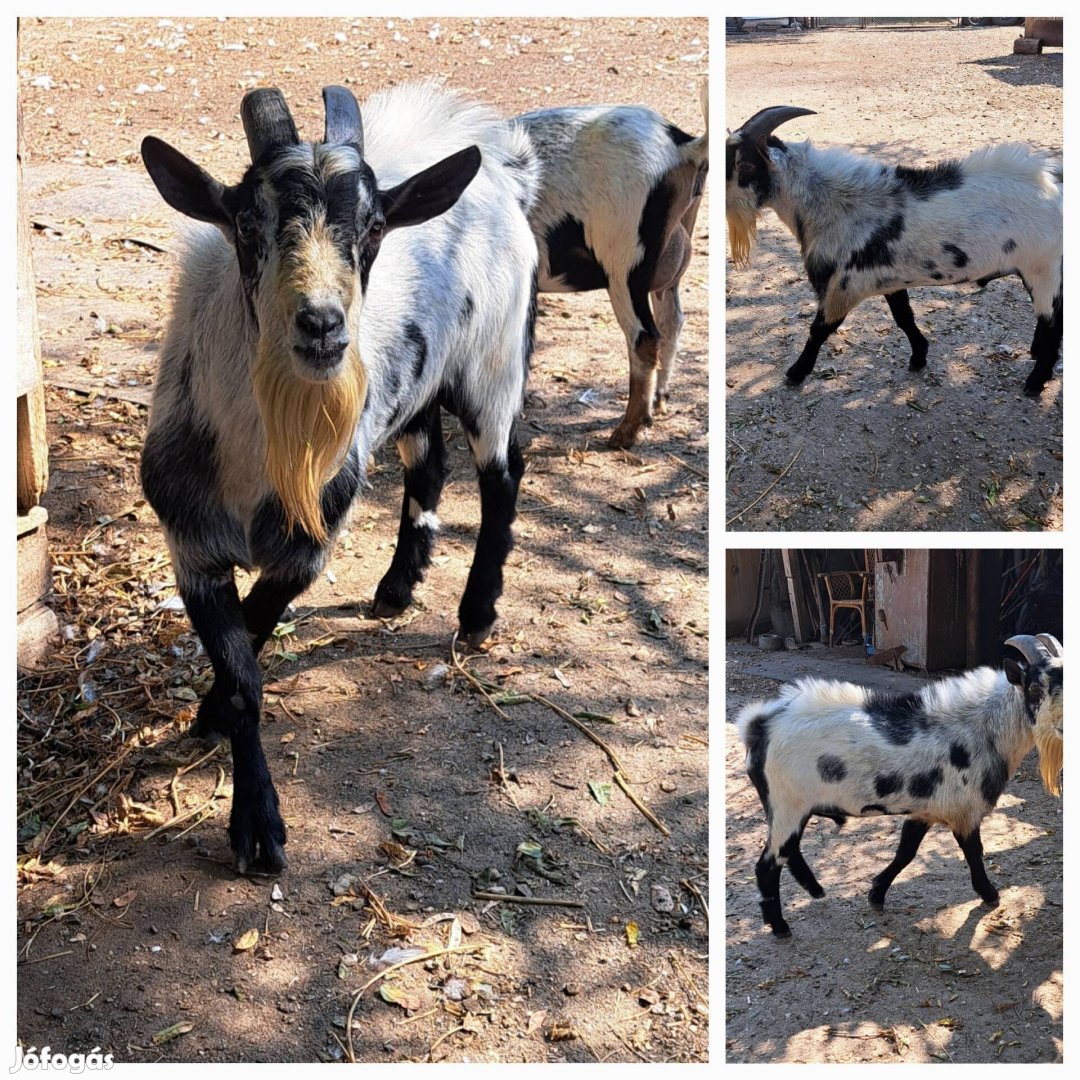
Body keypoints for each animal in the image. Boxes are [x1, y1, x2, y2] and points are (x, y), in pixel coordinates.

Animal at [139, 84, 535, 876]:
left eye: (375, 226)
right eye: (245, 221)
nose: (321, 325)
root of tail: (494, 161)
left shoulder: (307, 547)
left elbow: (252, 647)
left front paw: (256, 826)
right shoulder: (191, 546)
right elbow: (242, 670)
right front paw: (226, 749)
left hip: (492, 364)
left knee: (502, 474)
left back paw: (476, 615)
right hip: (412, 389)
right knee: (430, 463)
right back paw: (395, 589)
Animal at [520, 78, 708, 444]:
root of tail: (682, 146)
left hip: (625, 264)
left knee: (645, 337)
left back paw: (625, 432)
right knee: (672, 320)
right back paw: (659, 401)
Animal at [725, 106, 1062, 397]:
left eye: (743, 164)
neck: (835, 205)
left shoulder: (845, 285)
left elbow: (819, 329)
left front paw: (796, 373)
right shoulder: (889, 279)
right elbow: (904, 317)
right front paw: (919, 357)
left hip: (1042, 269)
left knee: (1053, 322)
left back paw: (1035, 382)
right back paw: (1035, 354)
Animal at [734, 630, 1062, 937]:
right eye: (1035, 687)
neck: (982, 730)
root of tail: (759, 726)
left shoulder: (924, 810)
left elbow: (906, 851)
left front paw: (876, 894)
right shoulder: (964, 812)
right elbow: (974, 852)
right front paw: (990, 895)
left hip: (793, 809)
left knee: (790, 851)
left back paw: (815, 890)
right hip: (786, 807)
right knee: (768, 864)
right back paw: (779, 925)